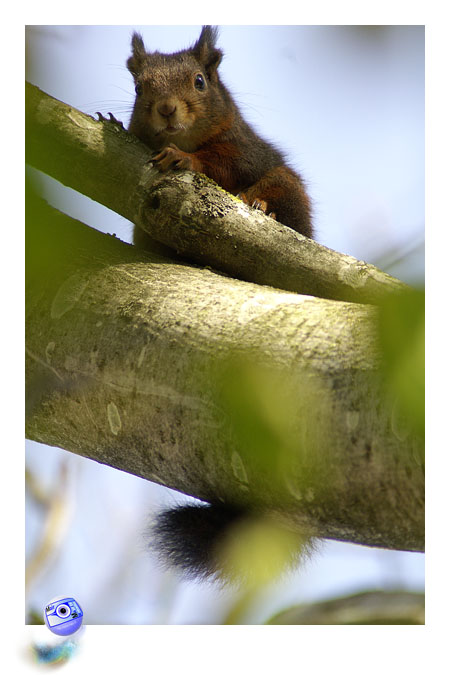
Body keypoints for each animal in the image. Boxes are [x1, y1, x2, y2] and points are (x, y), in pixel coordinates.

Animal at [125, 23, 312, 580]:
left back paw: (261, 206)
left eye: (200, 81)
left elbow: (222, 164)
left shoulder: (244, 150)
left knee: (273, 192)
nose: (167, 110)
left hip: (288, 187)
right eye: (139, 87)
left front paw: (185, 159)